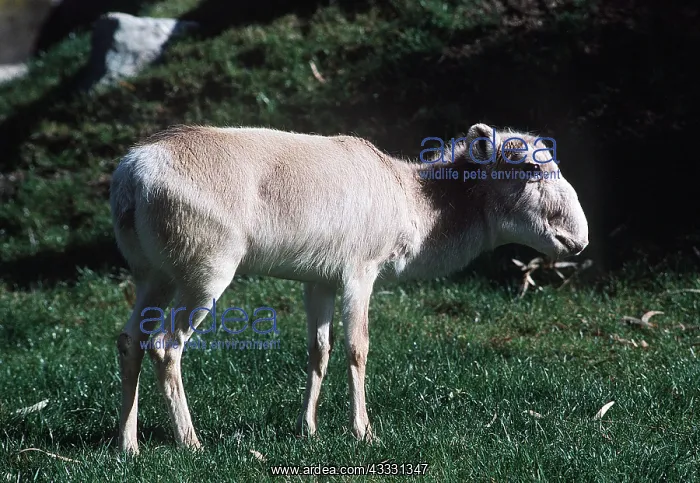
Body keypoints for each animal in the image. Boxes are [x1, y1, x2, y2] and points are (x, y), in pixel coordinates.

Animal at [110, 123, 588, 454]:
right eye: (529, 165)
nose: (579, 239)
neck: (415, 200)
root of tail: (131, 176)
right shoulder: (360, 272)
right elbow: (357, 347)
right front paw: (363, 431)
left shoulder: (317, 280)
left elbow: (318, 350)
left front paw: (308, 430)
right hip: (204, 273)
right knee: (165, 345)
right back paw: (191, 442)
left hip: (153, 275)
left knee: (130, 339)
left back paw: (127, 445)